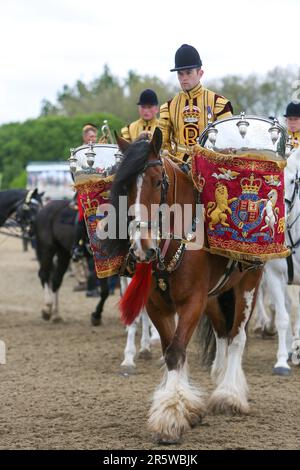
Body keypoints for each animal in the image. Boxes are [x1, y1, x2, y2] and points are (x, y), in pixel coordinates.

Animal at [102, 114, 288, 444]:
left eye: (158, 182)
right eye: (124, 186)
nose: (142, 247)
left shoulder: (192, 302)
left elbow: (177, 350)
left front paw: (170, 418)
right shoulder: (158, 306)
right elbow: (171, 351)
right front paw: (185, 408)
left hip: (248, 285)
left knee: (237, 337)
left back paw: (229, 395)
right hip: (215, 297)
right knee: (223, 334)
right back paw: (219, 378)